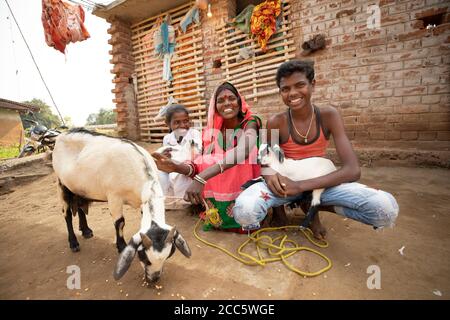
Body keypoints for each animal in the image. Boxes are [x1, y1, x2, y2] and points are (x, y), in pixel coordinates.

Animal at [51, 127, 191, 282]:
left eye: (168, 256)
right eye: (143, 256)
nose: (153, 279)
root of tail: (62, 135)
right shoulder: (114, 196)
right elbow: (120, 222)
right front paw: (121, 246)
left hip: (79, 188)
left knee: (81, 207)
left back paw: (86, 230)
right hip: (61, 184)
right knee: (67, 215)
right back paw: (73, 243)